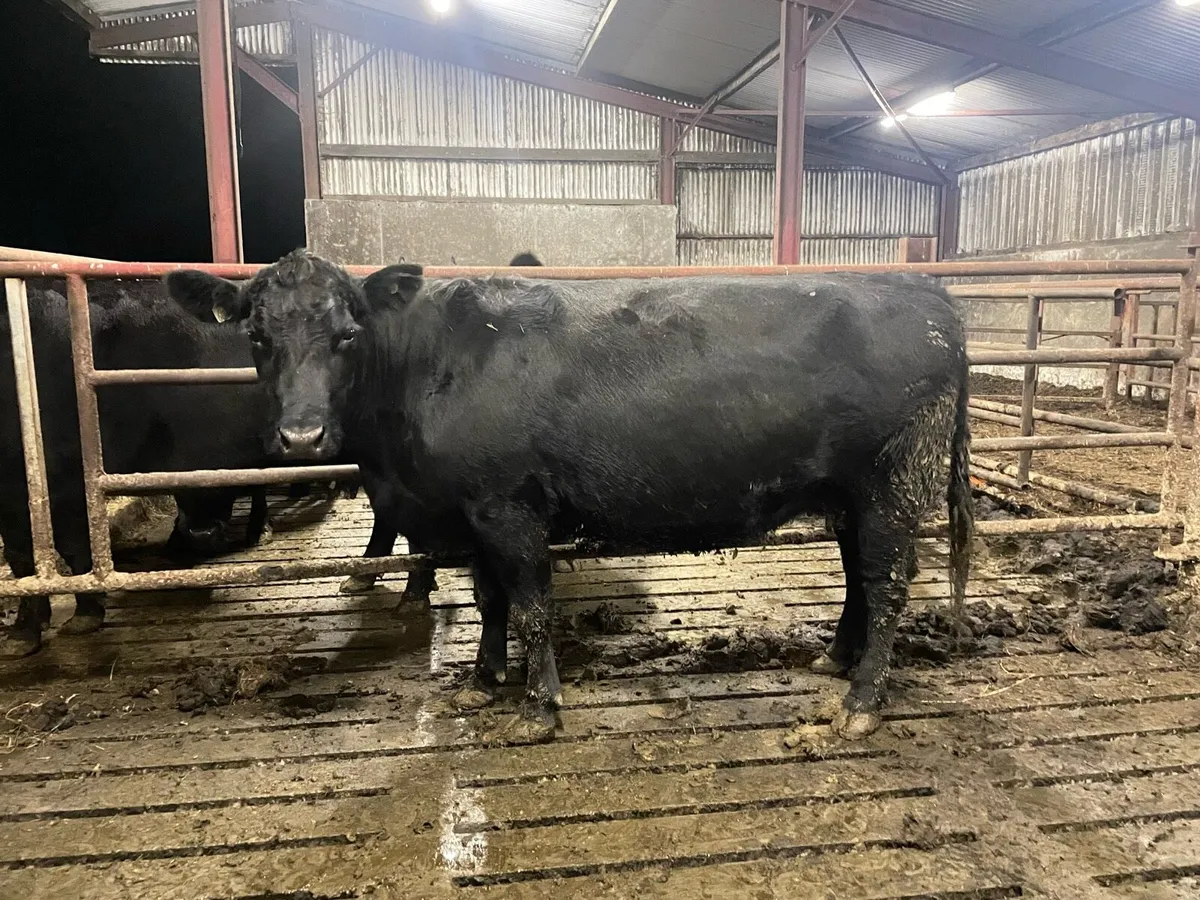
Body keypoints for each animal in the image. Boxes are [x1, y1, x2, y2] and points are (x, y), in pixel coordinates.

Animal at [166, 251, 973, 741]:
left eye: (345, 334)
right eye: (258, 337)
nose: (301, 436)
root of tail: (923, 291)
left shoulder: (508, 505)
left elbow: (529, 607)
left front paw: (539, 706)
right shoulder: (471, 514)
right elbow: (489, 601)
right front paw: (483, 680)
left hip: (893, 480)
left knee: (889, 583)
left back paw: (861, 701)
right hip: (849, 492)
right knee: (860, 579)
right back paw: (836, 659)